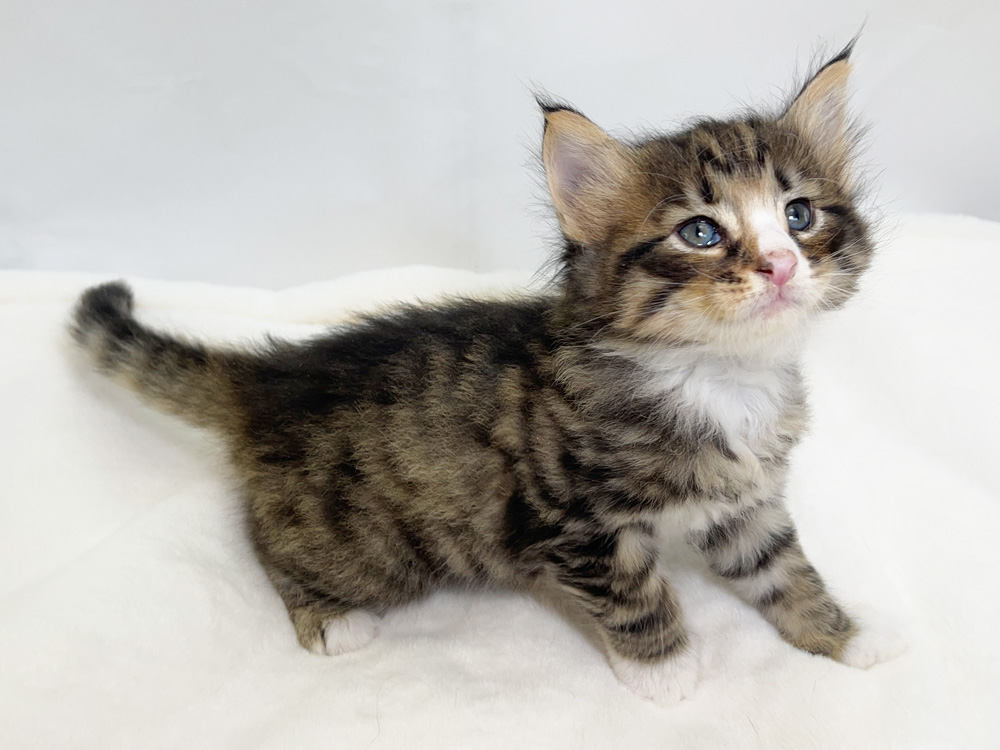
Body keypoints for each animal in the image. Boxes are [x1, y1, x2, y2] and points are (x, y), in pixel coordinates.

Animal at [70, 42, 904, 705]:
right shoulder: (575, 522)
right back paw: (331, 620)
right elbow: (635, 596)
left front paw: (844, 636)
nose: (781, 264)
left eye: (799, 216)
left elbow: (783, 571)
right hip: (370, 548)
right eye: (701, 233)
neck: (717, 375)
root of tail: (275, 373)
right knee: (268, 545)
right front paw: (663, 670)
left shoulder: (745, 506)